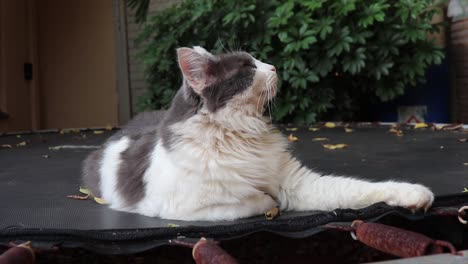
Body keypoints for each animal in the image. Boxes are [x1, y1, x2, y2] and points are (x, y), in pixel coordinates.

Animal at [81, 47, 436, 221]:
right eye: (248, 68)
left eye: (257, 61)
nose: (274, 66)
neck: (239, 133)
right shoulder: (187, 209)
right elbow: (246, 202)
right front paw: (268, 202)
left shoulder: (298, 184)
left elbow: (359, 189)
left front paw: (413, 194)